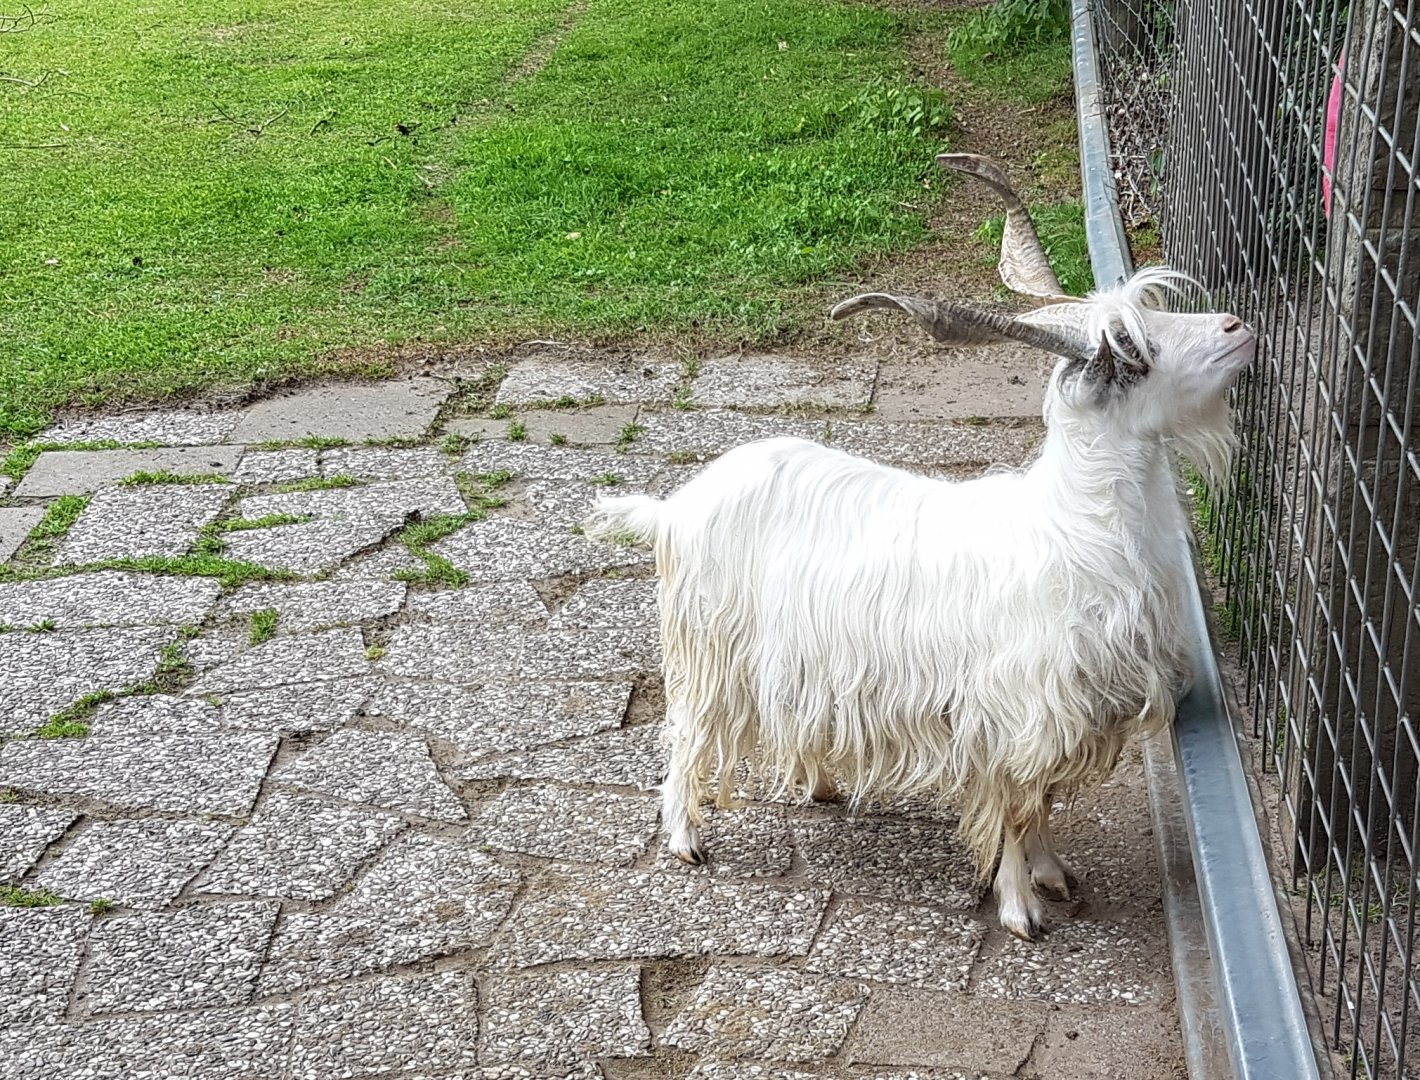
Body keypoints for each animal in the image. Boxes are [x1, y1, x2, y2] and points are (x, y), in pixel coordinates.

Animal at [584, 154, 1255, 939]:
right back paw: (685, 840)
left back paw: (821, 785)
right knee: (688, 733)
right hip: (710, 650)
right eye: (1133, 355)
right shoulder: (1007, 712)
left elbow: (1041, 803)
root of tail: (675, 507)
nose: (1238, 325)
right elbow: (1014, 808)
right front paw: (1021, 909)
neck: (1075, 525)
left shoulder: (1057, 716)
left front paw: (1054, 874)